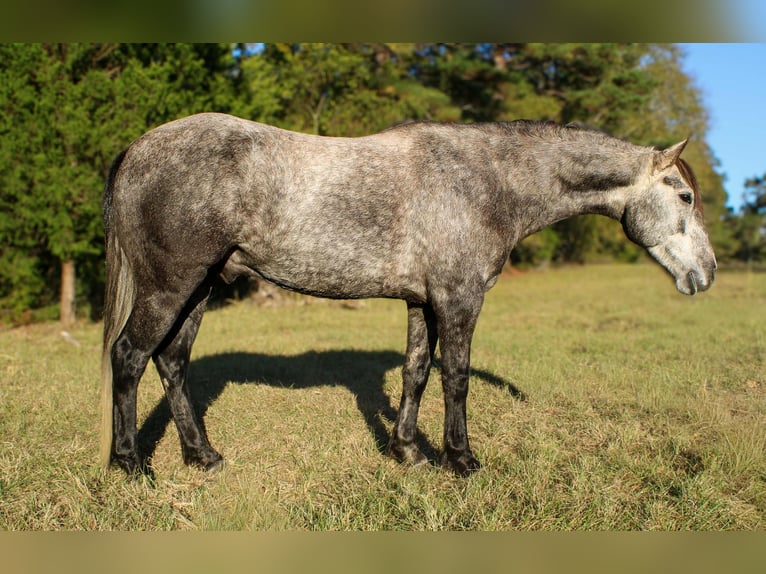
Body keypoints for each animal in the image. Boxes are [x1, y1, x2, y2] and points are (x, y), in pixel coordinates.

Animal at [100, 113, 716, 477]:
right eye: (684, 195)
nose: (706, 274)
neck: (486, 181)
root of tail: (136, 149)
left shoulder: (424, 301)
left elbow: (416, 371)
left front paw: (408, 451)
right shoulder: (460, 298)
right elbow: (456, 377)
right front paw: (461, 460)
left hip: (199, 287)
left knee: (172, 363)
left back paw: (202, 456)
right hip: (170, 286)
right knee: (129, 357)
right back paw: (130, 465)